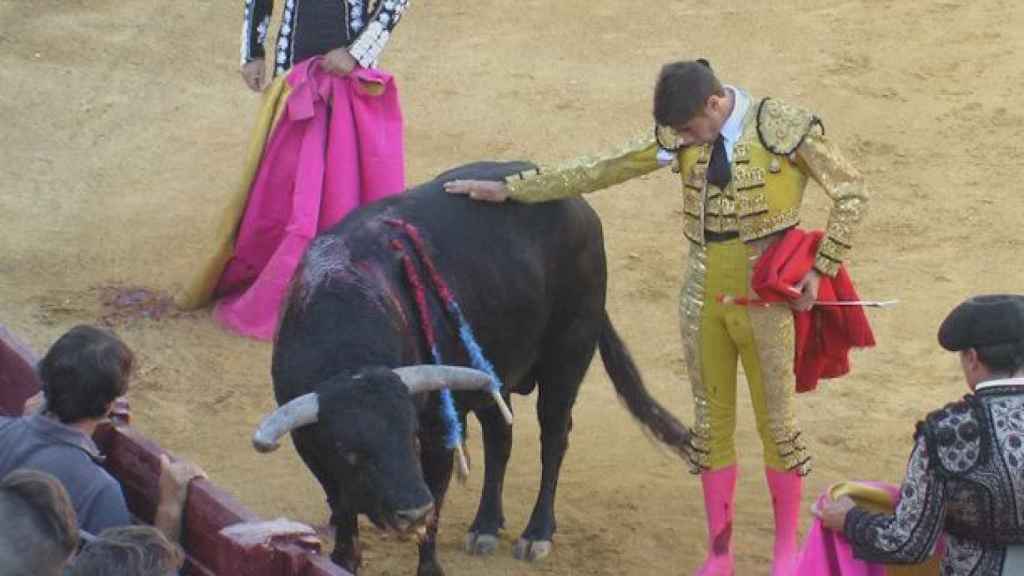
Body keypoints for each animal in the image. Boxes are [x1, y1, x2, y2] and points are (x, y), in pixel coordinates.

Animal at [256, 159, 696, 573]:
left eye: (411, 434)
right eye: (350, 452)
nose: (412, 511)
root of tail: (580, 208)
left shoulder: (438, 432)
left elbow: (433, 509)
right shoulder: (314, 449)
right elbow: (343, 509)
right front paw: (343, 559)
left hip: (567, 359)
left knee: (554, 437)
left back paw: (536, 533)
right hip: (494, 377)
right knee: (500, 436)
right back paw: (485, 525)